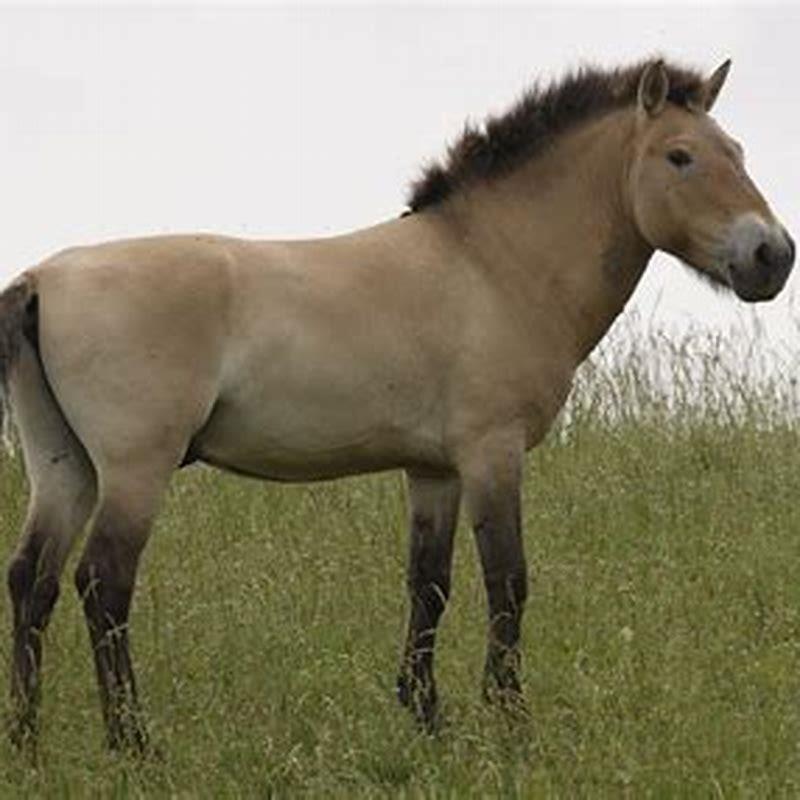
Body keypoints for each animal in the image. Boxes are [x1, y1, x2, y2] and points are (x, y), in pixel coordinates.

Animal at [0, 58, 793, 752]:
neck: (492, 266)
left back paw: (28, 738)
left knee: (32, 581)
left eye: (738, 151)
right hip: (136, 469)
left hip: (64, 468)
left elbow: (429, 587)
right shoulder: (492, 452)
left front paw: (426, 716)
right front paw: (509, 723)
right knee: (102, 584)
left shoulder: (432, 470)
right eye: (680, 157)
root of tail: (42, 280)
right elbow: (507, 581)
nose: (772, 256)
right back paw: (132, 742)